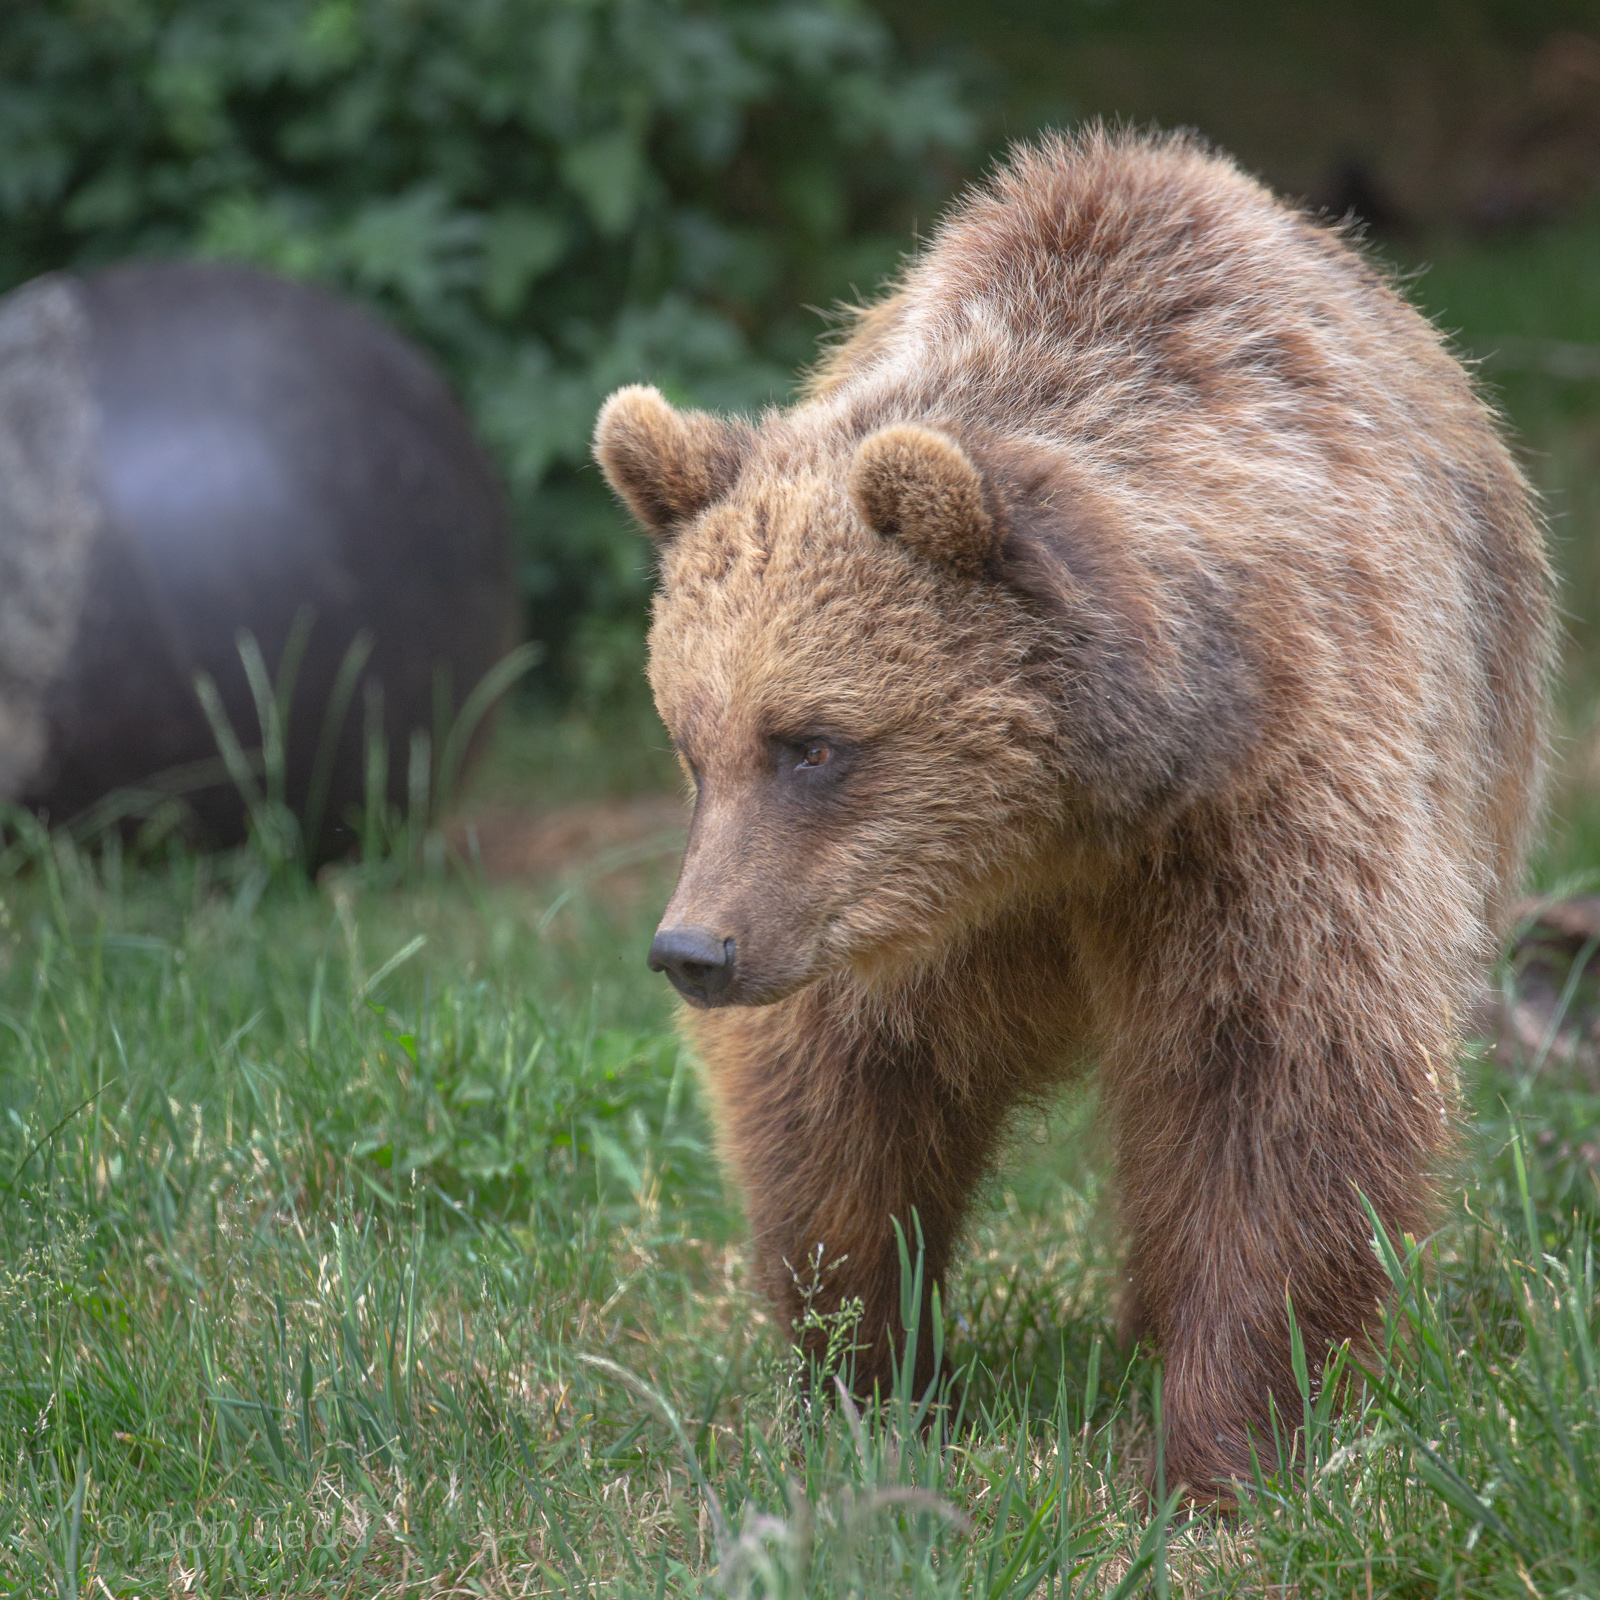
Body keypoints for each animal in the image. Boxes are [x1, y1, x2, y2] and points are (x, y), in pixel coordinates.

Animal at [592, 126, 1553, 1502]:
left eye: (813, 742)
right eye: (690, 740)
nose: (693, 950)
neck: (1060, 825)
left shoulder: (1268, 812)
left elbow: (1279, 1090)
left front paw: (1216, 1448)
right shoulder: (884, 924)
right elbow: (837, 1105)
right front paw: (866, 1376)